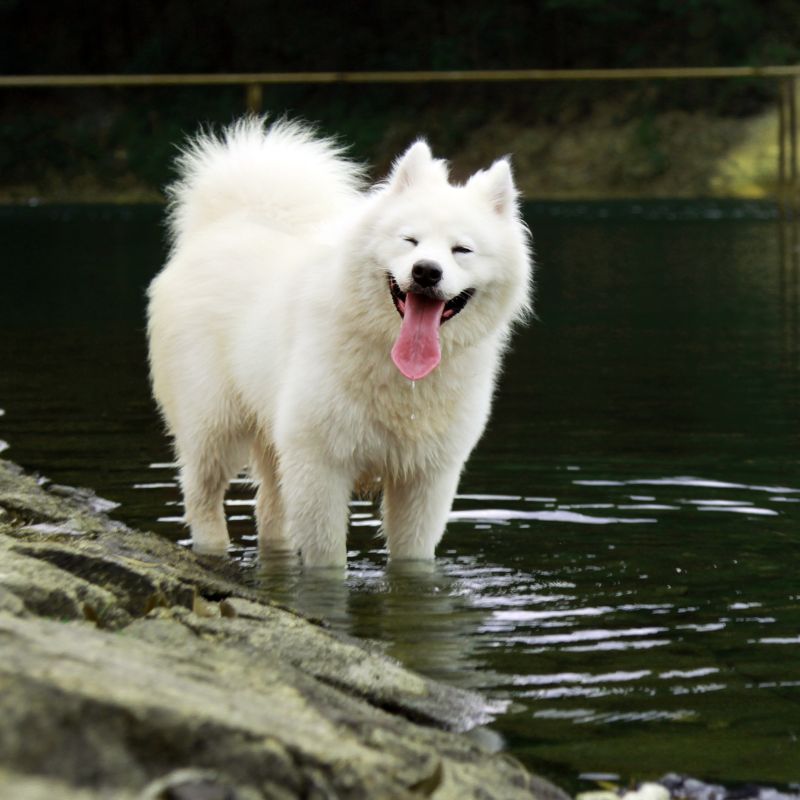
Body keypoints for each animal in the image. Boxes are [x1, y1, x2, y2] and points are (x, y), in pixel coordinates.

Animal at [147, 119, 536, 568]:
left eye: (462, 250)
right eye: (410, 241)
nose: (426, 272)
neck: (396, 370)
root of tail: (228, 222)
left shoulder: (425, 478)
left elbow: (412, 561)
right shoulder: (320, 466)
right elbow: (328, 561)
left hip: (274, 438)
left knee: (270, 512)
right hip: (214, 426)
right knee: (203, 496)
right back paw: (212, 549)